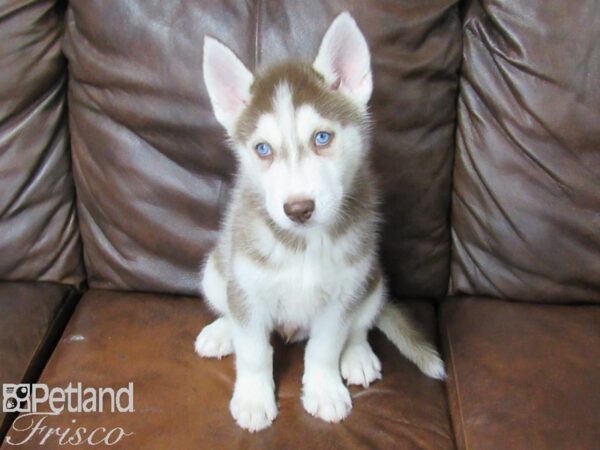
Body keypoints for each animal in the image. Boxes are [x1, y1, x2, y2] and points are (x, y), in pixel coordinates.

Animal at [195, 11, 442, 432]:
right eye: (263, 149)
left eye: (322, 138)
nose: (298, 209)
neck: (303, 244)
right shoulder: (247, 287)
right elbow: (254, 350)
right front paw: (253, 398)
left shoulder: (342, 295)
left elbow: (325, 348)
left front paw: (325, 390)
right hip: (216, 268)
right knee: (230, 308)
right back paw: (221, 331)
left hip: (372, 279)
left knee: (360, 326)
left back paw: (357, 356)